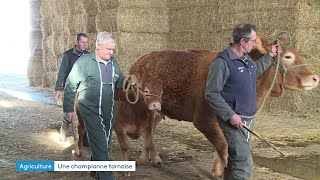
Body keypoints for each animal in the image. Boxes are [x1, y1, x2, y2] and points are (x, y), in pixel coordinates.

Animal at [126, 35, 318, 178]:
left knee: (150, 130)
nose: (315, 78)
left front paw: (217, 170)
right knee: (146, 130)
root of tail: (140, 59)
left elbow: (224, 147)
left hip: (158, 111)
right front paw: (222, 172)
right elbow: (223, 147)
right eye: (288, 56)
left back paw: (154, 158)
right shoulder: (203, 120)